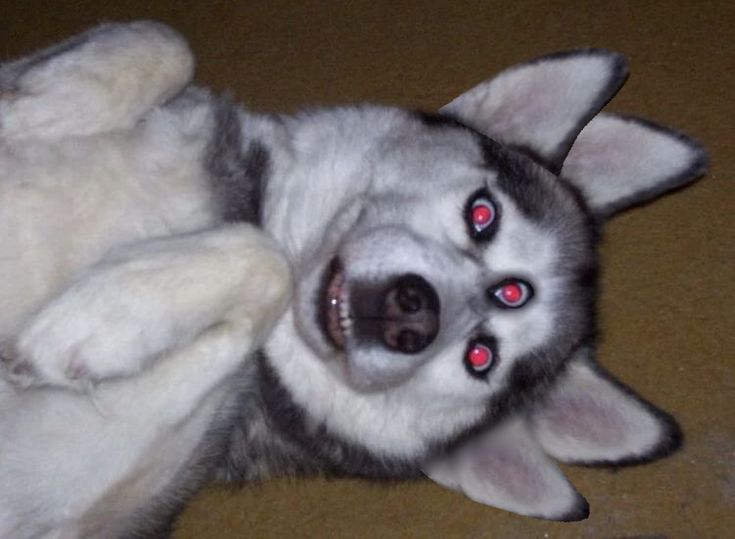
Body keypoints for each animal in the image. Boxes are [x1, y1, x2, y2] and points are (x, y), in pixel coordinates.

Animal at [0, 22, 708, 539]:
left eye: (481, 357)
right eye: (483, 215)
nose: (411, 313)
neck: (249, 204)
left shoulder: (68, 487)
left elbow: (266, 262)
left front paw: (98, 319)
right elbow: (166, 40)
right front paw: (38, 106)